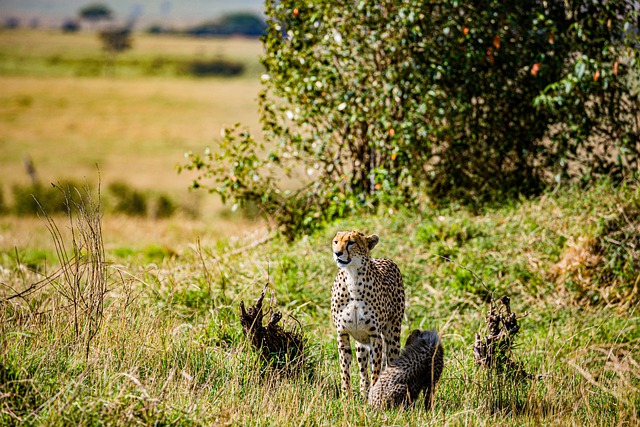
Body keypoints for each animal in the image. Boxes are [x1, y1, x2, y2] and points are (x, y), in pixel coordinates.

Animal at [332, 232, 402, 400]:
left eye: (351, 242)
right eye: (335, 242)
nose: (337, 253)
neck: (353, 279)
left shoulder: (374, 336)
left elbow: (375, 369)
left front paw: (375, 396)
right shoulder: (342, 333)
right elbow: (344, 368)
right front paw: (346, 397)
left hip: (393, 336)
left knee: (390, 361)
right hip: (360, 343)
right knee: (363, 371)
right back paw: (363, 393)